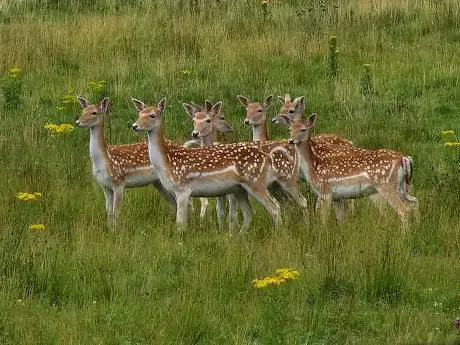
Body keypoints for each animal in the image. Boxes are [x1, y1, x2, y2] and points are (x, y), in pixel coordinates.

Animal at [74, 97, 177, 226]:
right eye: (83, 111)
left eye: (94, 112)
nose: (77, 122)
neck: (104, 160)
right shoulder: (105, 186)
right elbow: (108, 212)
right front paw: (108, 228)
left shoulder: (119, 183)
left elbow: (115, 212)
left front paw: (115, 229)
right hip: (158, 182)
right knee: (174, 203)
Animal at [130, 97, 284, 231]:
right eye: (139, 114)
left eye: (152, 115)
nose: (134, 126)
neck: (166, 163)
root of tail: (266, 157)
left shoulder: (183, 189)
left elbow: (180, 224)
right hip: (240, 189)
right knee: (250, 213)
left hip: (256, 182)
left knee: (274, 208)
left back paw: (278, 233)